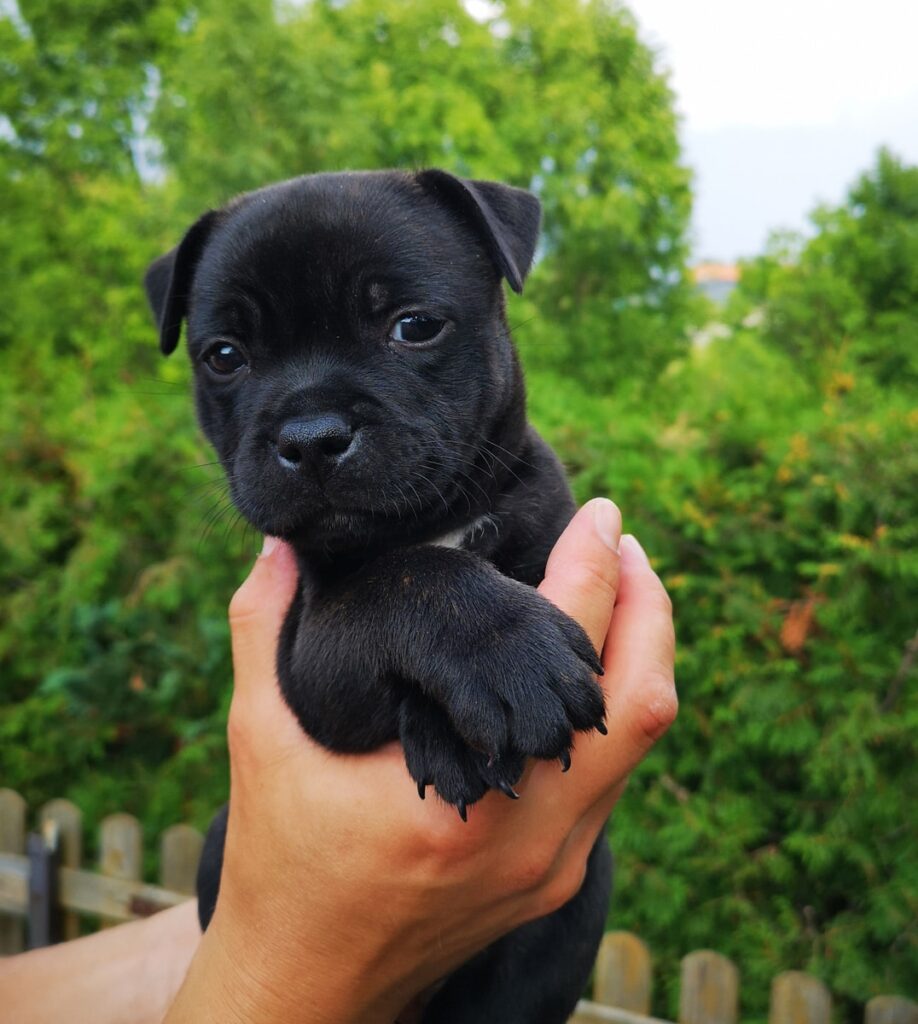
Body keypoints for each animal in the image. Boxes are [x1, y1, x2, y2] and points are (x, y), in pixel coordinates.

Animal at [147, 172, 614, 1019]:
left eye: (414, 327)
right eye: (223, 357)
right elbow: (402, 580)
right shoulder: (307, 655)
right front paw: (501, 662)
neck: (430, 522)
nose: (310, 435)